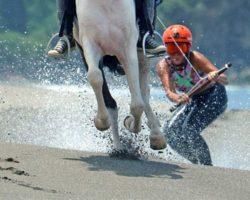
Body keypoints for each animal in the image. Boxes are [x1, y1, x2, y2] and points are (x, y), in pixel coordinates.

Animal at [73, 0, 166, 153]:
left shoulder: (128, 50)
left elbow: (137, 104)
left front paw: (130, 122)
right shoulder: (89, 45)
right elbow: (95, 77)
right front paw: (101, 121)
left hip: (142, 55)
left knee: (144, 92)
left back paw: (156, 135)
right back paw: (119, 146)